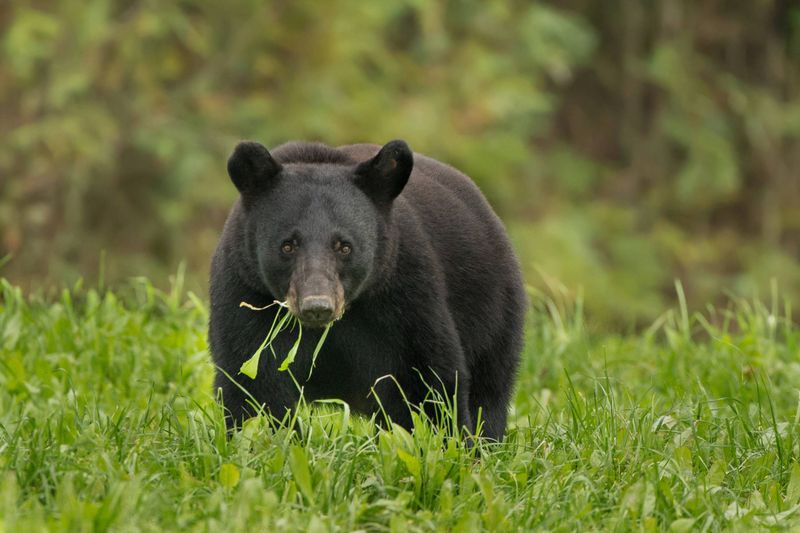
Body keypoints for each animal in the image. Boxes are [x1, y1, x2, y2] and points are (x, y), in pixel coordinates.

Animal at [209, 138, 528, 440]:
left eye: (344, 246)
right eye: (288, 245)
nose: (317, 307)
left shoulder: (404, 294)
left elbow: (427, 379)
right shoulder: (245, 292)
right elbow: (253, 382)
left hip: (493, 311)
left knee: (489, 391)